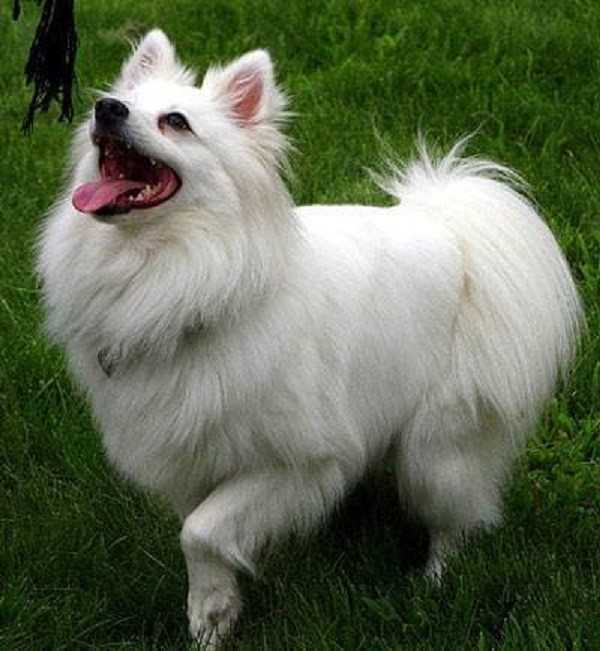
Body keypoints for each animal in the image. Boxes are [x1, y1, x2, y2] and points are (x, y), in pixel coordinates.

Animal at [38, 29, 582, 647]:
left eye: (175, 122)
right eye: (116, 103)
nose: (106, 109)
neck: (179, 269)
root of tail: (453, 232)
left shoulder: (299, 463)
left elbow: (201, 532)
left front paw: (211, 612)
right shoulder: (194, 457)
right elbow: (203, 542)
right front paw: (213, 617)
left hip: (438, 450)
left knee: (454, 520)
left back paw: (435, 586)